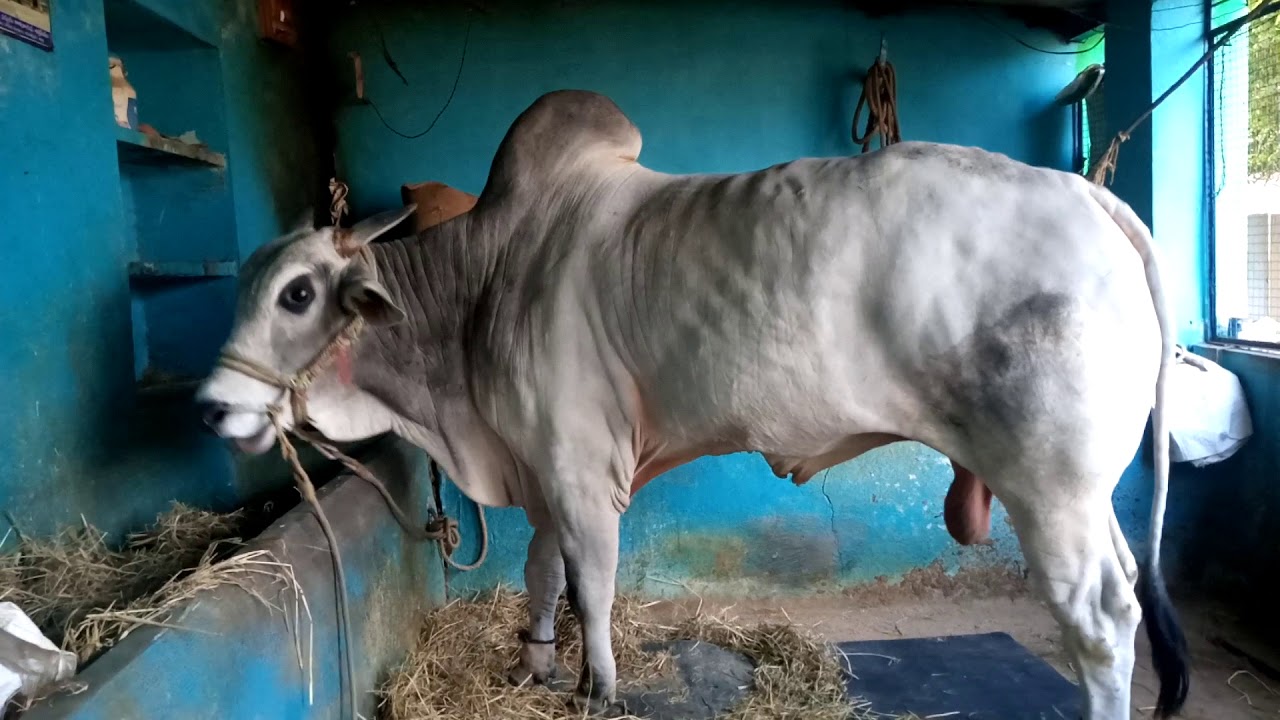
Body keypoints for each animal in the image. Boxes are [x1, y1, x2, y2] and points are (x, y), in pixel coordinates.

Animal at [196, 89, 1188, 720]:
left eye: (297, 294)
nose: (210, 406)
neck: (479, 289)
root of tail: (1089, 194)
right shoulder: (542, 467)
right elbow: (542, 575)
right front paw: (533, 665)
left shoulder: (579, 469)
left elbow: (591, 583)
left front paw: (598, 688)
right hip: (1084, 492)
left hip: (1050, 484)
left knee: (1103, 622)